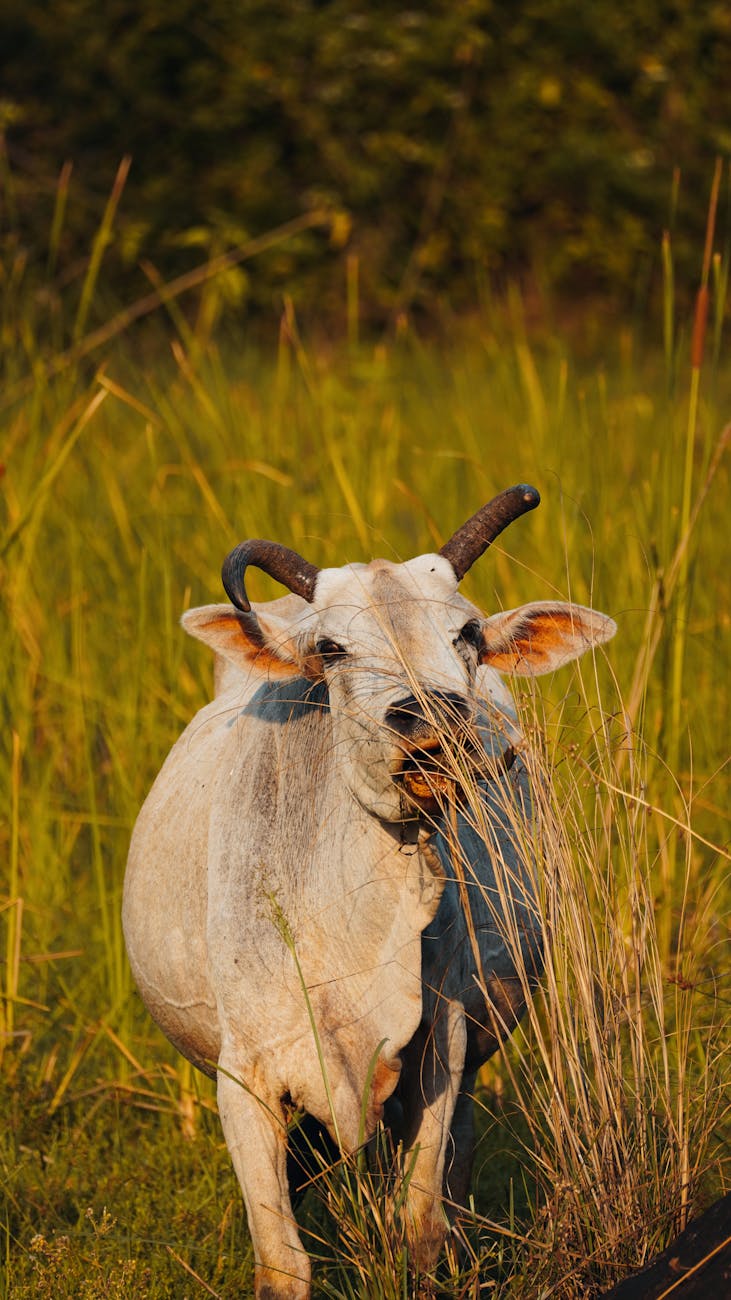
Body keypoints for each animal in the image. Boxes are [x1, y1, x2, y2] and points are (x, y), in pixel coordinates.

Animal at [123, 485, 616, 1299]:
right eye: (330, 649)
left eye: (466, 632)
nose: (431, 715)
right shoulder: (245, 1079)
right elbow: (282, 1265)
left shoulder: (440, 1047)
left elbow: (417, 1226)